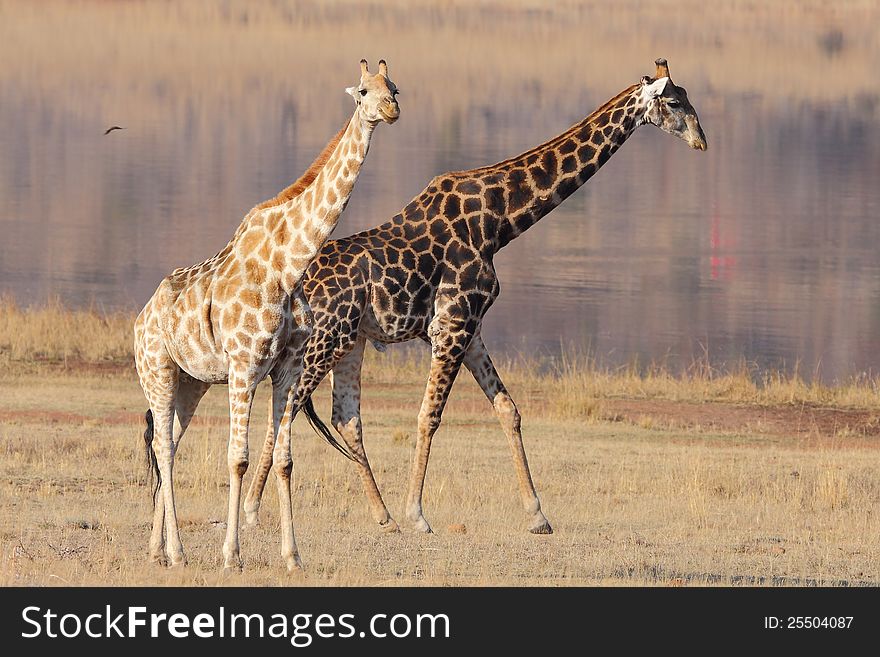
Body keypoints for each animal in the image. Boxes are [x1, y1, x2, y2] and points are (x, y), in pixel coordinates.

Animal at [134, 60, 398, 568]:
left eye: (394, 87)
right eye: (363, 91)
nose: (391, 110)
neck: (288, 265)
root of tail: (141, 317)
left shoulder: (287, 369)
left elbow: (284, 460)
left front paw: (293, 557)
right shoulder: (243, 367)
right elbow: (238, 457)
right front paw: (231, 555)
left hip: (191, 382)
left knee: (168, 441)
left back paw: (158, 549)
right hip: (156, 369)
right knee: (164, 447)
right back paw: (177, 551)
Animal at [242, 57, 708, 532]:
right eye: (674, 102)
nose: (701, 141)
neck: (499, 221)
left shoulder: (472, 328)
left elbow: (508, 408)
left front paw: (537, 514)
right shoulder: (452, 325)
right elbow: (428, 415)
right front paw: (418, 514)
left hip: (350, 342)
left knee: (342, 416)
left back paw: (381, 515)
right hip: (324, 341)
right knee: (286, 407)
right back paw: (255, 509)